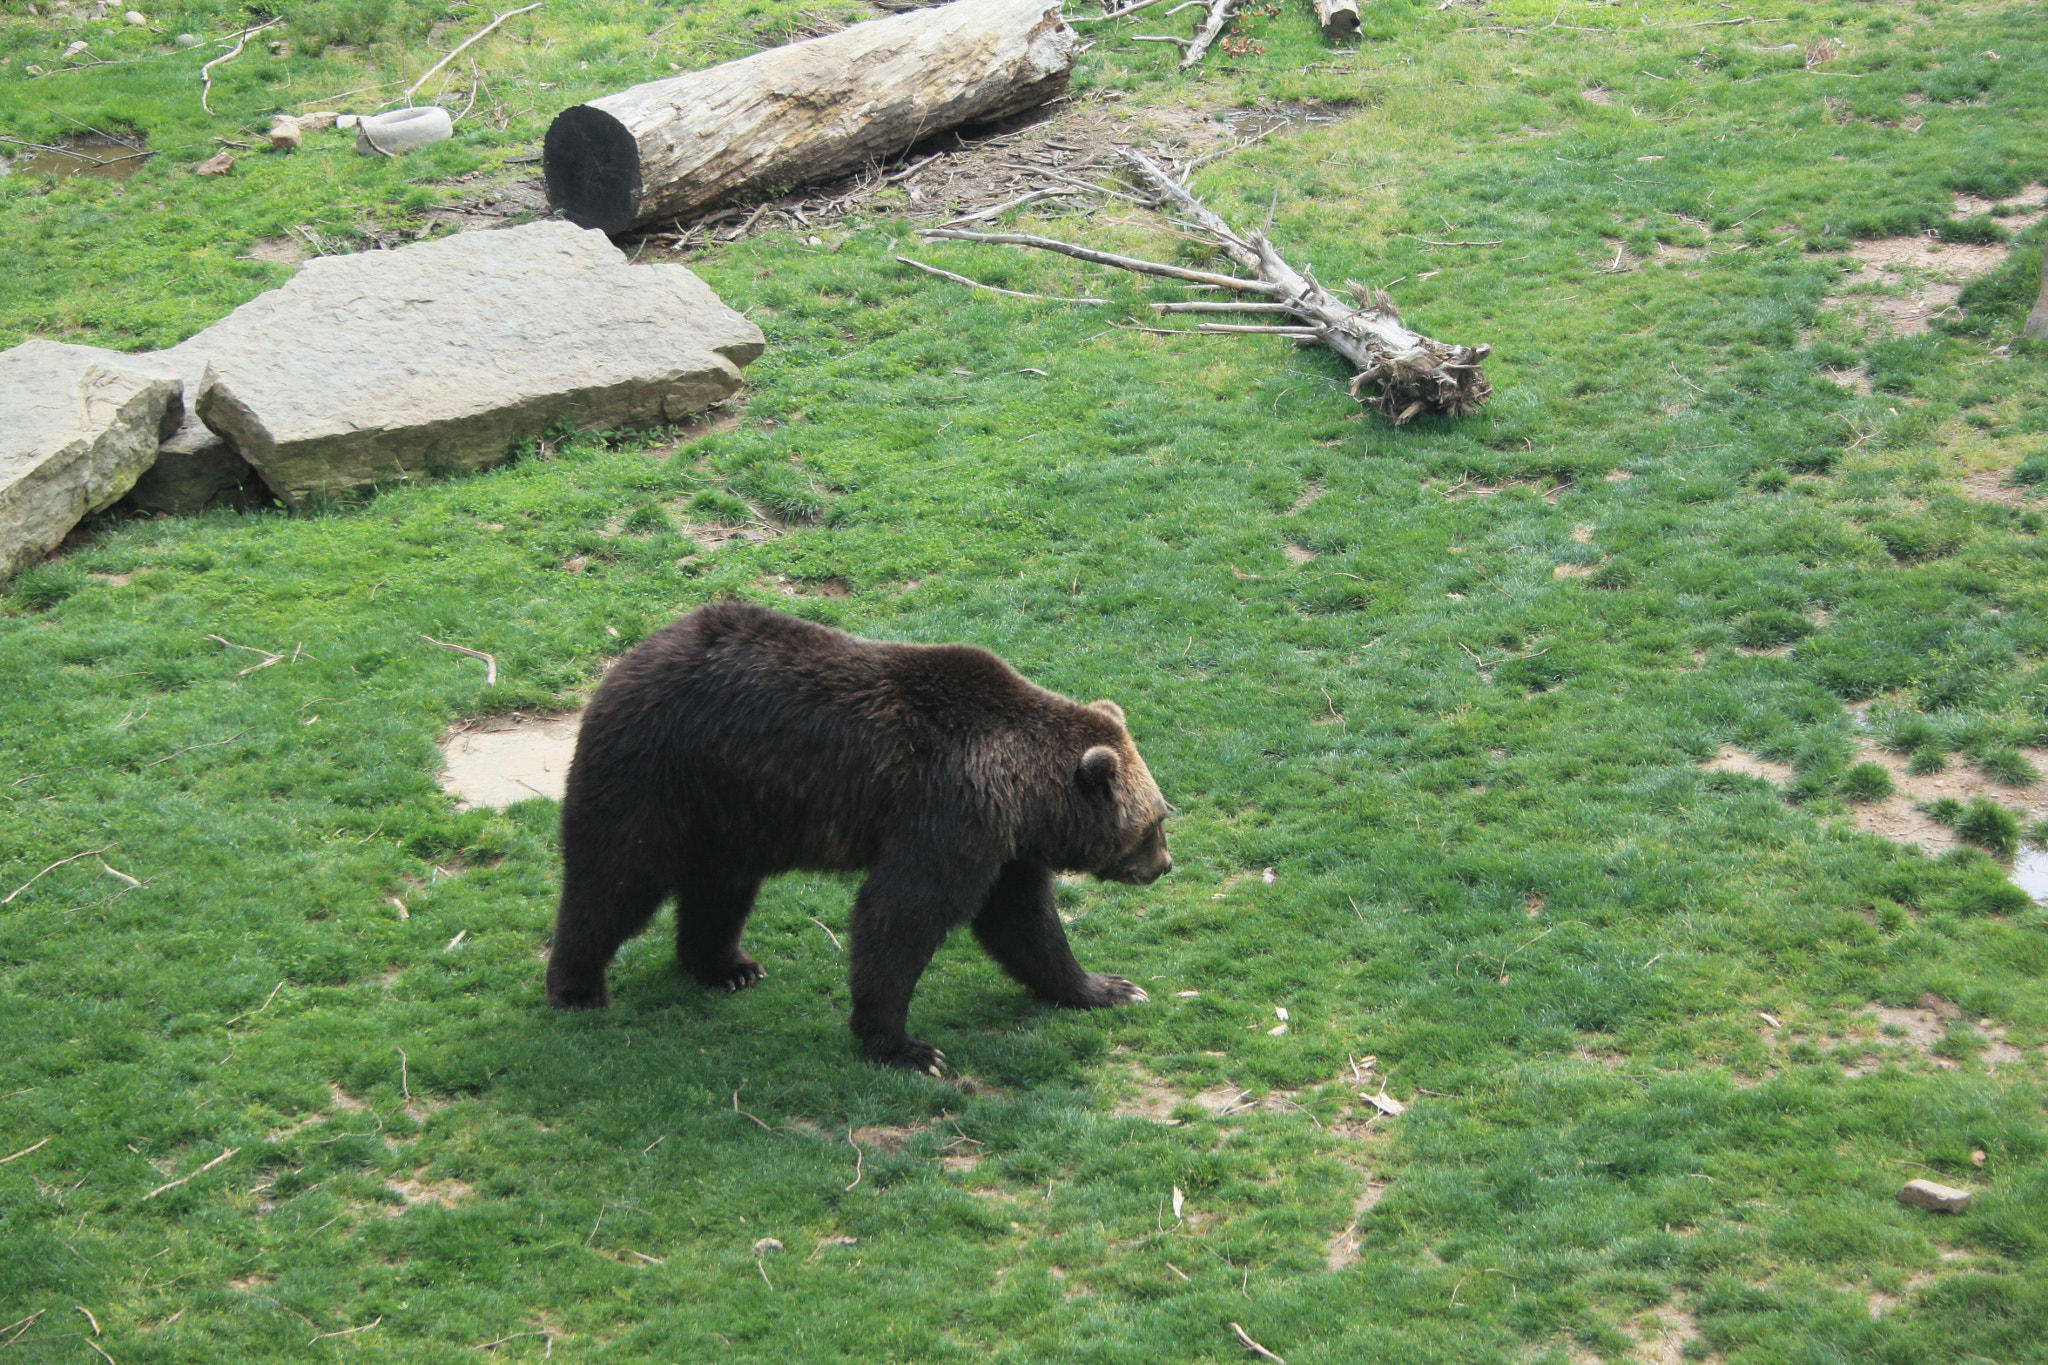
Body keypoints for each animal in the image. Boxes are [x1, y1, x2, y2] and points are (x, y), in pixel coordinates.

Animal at [545, 601, 1172, 1074]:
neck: (1025, 792)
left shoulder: (1004, 845)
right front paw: (906, 1048)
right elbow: (901, 916)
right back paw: (577, 988)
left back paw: (729, 967)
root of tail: (629, 658)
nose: (1164, 864)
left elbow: (1024, 922)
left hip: (731, 809)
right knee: (615, 877)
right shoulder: (948, 813)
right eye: (1154, 822)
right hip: (655, 773)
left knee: (721, 888)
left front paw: (1108, 987)